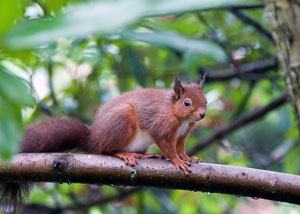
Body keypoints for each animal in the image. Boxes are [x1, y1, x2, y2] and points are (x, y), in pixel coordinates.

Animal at [0, 75, 206, 211]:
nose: (203, 114)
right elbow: (168, 146)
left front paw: (188, 158)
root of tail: (93, 138)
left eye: (205, 100)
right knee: (105, 150)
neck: (177, 114)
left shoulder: (183, 133)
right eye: (187, 103)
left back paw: (146, 154)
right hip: (122, 119)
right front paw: (177, 161)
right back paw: (124, 154)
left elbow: (180, 146)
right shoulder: (161, 126)